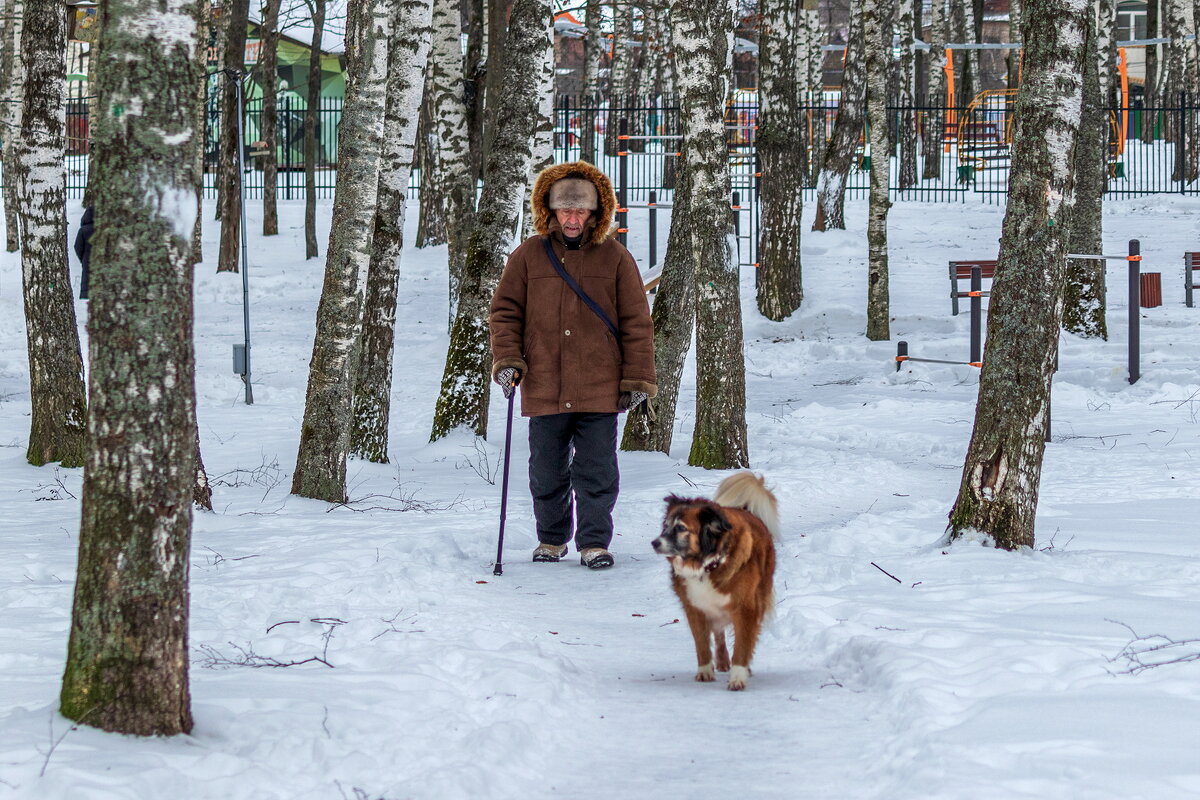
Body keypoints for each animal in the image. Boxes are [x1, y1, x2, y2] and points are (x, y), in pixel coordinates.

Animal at [652, 472, 782, 690]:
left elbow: (743, 644)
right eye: (665, 526)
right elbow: (702, 643)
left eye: (681, 528)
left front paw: (738, 677)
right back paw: (721, 660)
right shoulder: (694, 607)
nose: (654, 543)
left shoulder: (746, 608)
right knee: (719, 633)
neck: (707, 564)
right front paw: (705, 671)